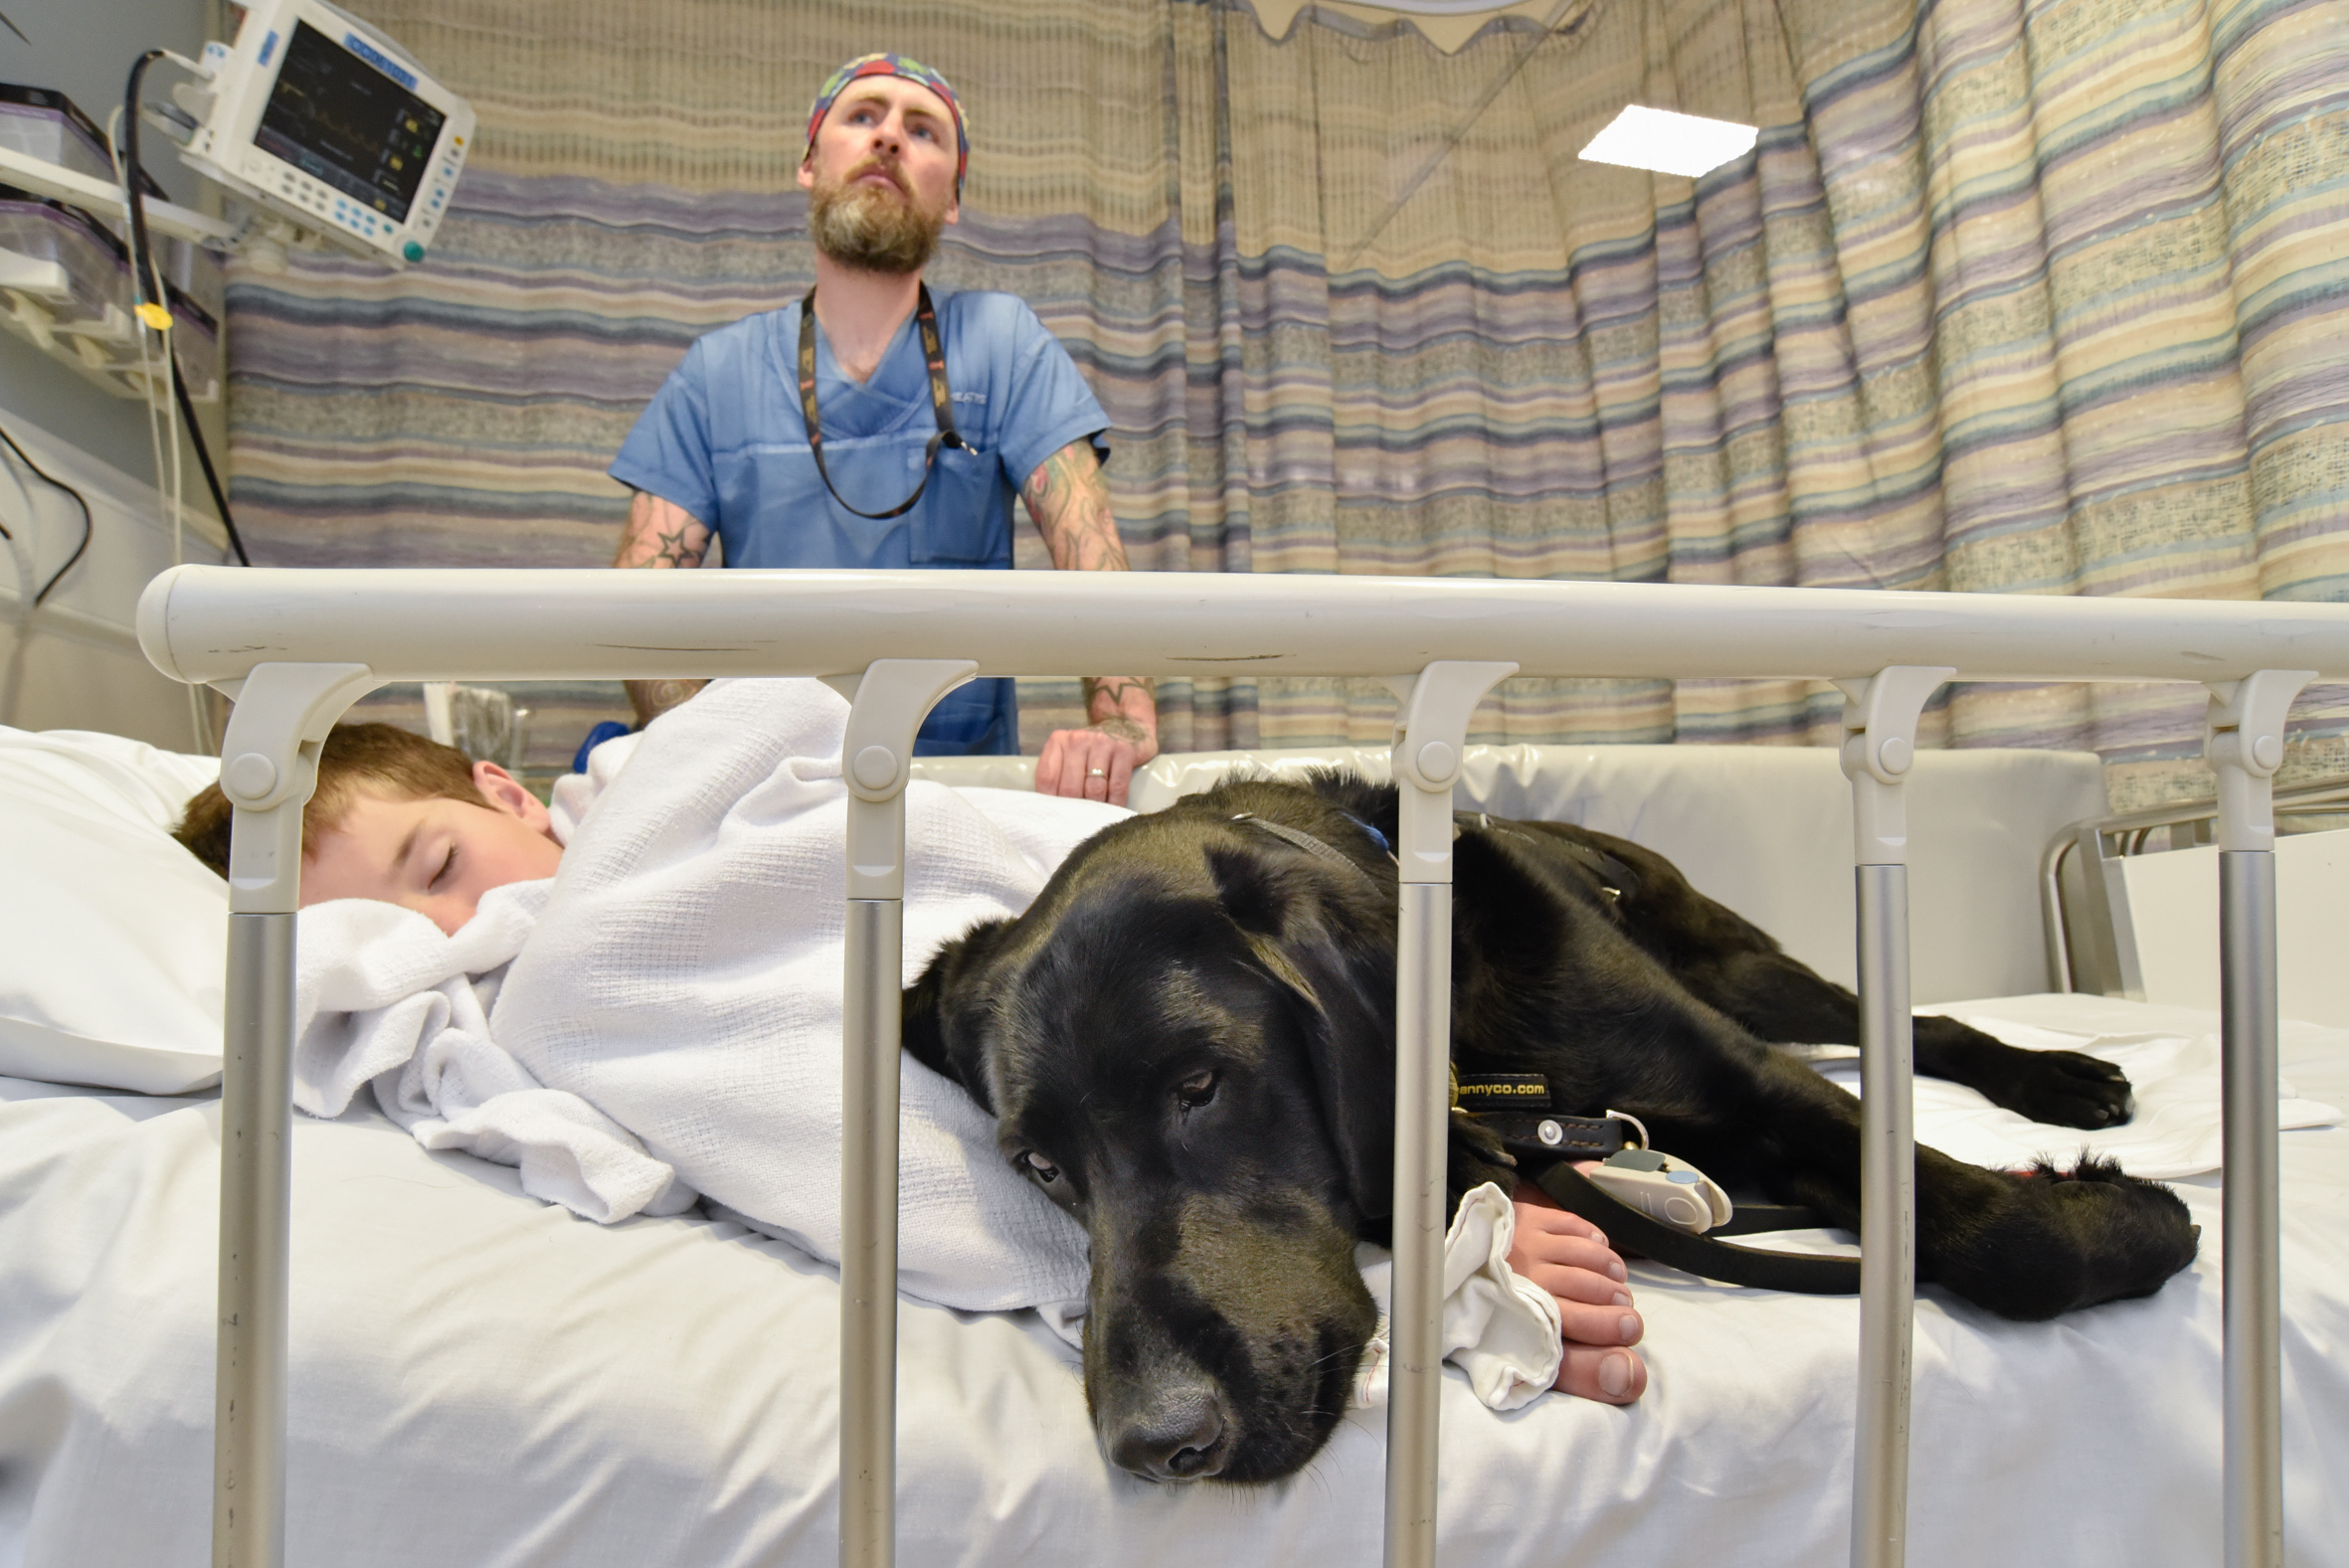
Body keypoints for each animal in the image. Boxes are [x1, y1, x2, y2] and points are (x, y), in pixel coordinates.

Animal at [897, 770, 2198, 1483]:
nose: (1155, 1444)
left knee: (1896, 1017)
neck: (1476, 1048)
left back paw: (2059, 1075)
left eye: (1202, 1083)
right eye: (1040, 1163)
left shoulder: (1758, 1088)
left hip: (1748, 974)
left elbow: (2000, 1235)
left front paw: (2133, 1215)